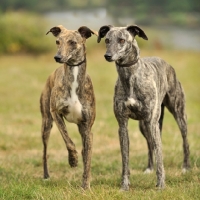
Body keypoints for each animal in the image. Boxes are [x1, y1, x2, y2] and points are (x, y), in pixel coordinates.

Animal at [39, 25, 96, 189]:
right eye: (57, 41)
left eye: (72, 42)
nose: (57, 57)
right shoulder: (56, 113)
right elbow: (68, 141)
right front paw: (73, 160)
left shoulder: (87, 127)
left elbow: (88, 158)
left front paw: (85, 185)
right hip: (46, 123)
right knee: (44, 152)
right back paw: (46, 175)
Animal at [97, 25, 190, 191]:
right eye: (107, 40)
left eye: (122, 40)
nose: (107, 56)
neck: (130, 76)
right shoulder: (123, 125)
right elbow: (125, 159)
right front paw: (124, 186)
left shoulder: (152, 122)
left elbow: (160, 157)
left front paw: (161, 185)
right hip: (144, 126)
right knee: (150, 145)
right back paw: (149, 168)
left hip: (178, 115)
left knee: (184, 139)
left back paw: (186, 167)